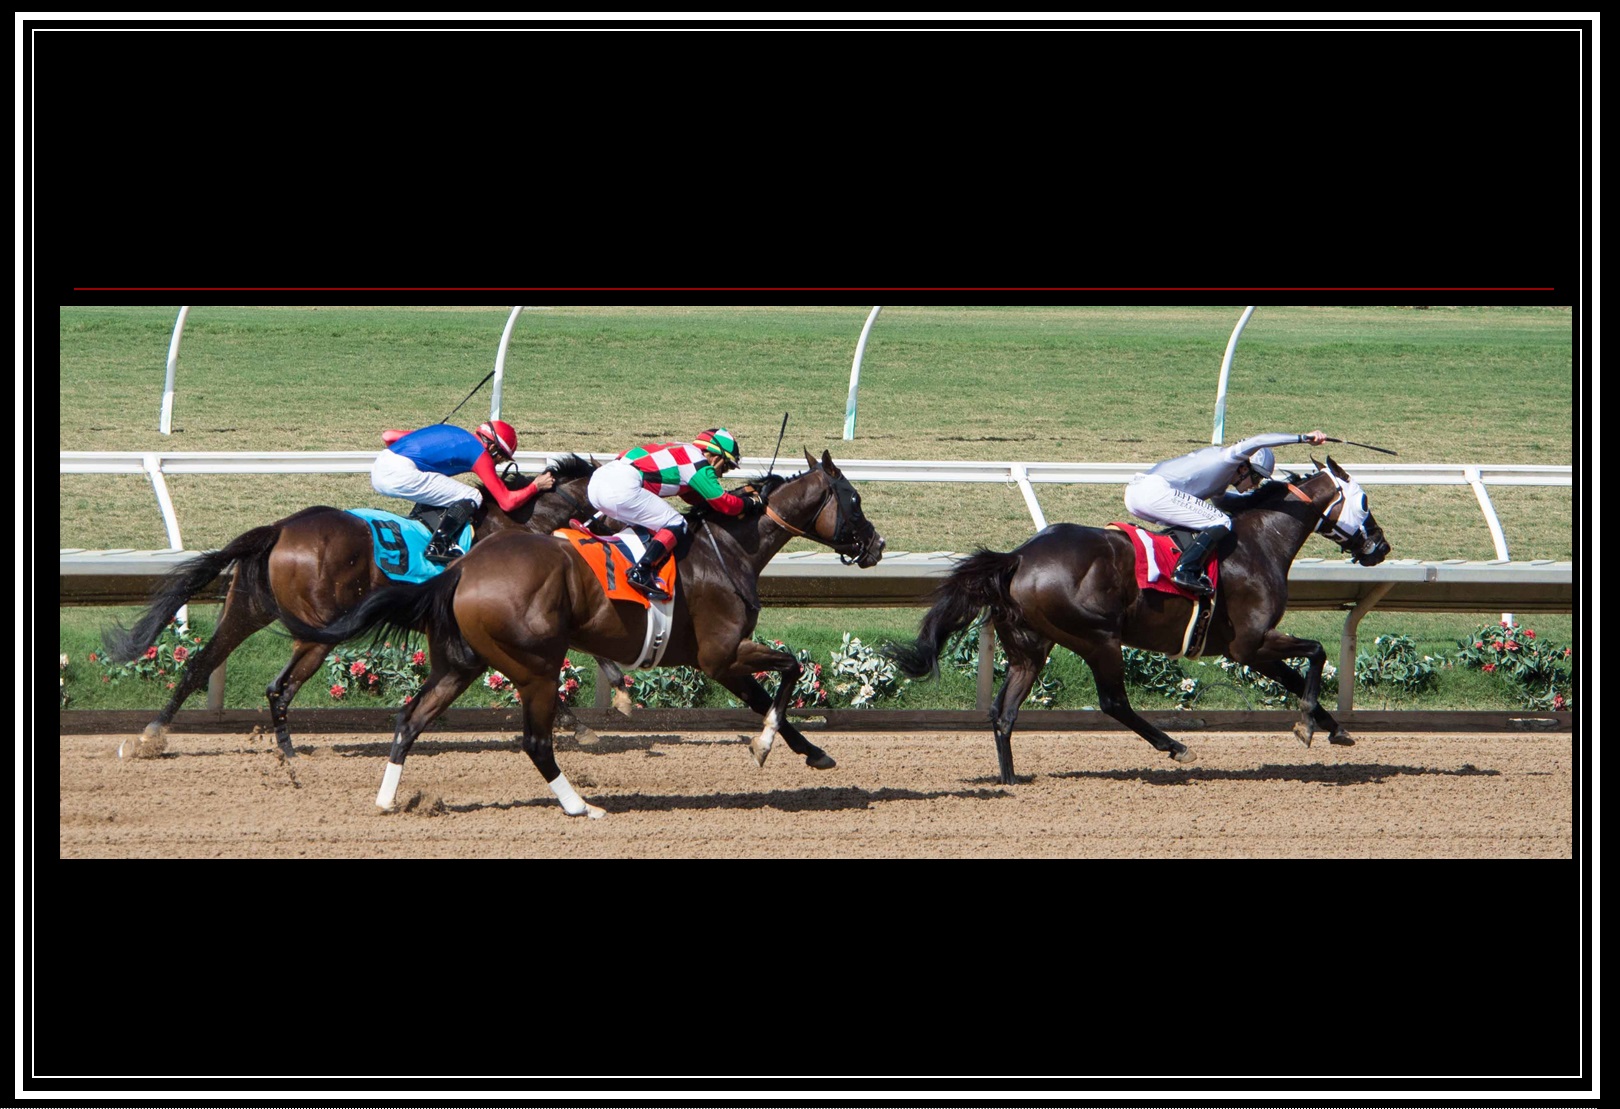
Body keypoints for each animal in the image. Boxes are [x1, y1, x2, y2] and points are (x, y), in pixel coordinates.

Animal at [102, 455, 608, 760]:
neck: (512, 525)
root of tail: (280, 527)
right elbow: (534, 675)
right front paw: (581, 726)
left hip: (247, 608)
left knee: (202, 664)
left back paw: (153, 734)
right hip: (317, 628)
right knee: (278, 686)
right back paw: (286, 750)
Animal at [280, 449, 887, 818]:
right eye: (854, 500)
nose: (877, 546)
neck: (731, 549)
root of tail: (462, 569)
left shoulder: (719, 660)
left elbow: (768, 697)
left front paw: (811, 753)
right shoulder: (722, 653)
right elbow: (790, 670)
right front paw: (766, 744)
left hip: (461, 663)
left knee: (410, 719)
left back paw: (388, 800)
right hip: (536, 667)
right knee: (534, 741)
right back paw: (580, 806)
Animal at [885, 456, 1391, 785]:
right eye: (1364, 501)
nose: (1381, 546)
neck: (1258, 541)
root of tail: (1019, 557)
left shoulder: (1251, 648)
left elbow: (1296, 676)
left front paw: (1333, 727)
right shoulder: (1249, 642)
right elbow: (1317, 653)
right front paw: (1308, 725)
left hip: (1029, 648)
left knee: (1003, 712)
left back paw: (1010, 780)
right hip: (1098, 637)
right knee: (1113, 702)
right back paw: (1175, 746)